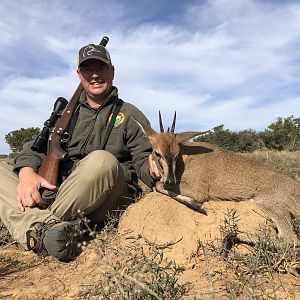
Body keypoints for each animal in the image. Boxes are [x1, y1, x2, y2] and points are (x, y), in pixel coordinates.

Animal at [136, 111, 300, 245]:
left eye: (177, 154)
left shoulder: (199, 191)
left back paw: (233, 236)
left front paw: (199, 207)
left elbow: (159, 185)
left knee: (290, 240)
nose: (170, 180)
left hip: (268, 203)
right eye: (157, 153)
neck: (187, 158)